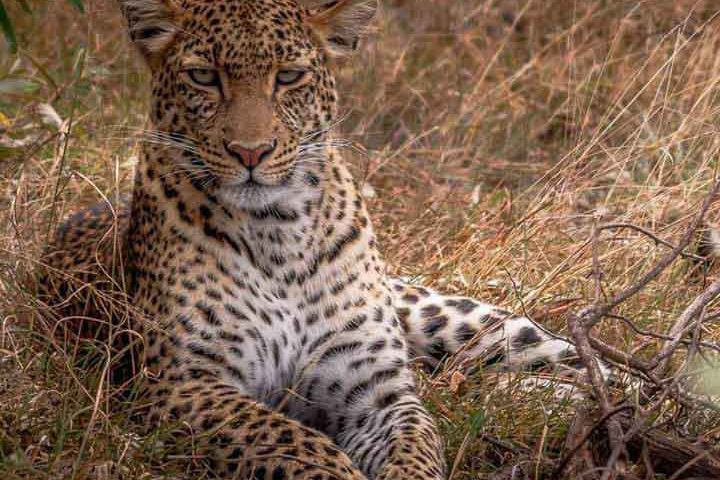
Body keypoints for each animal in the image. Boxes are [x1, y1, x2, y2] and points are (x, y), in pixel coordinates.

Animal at [40, 1, 600, 478]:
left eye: (289, 77)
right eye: (203, 77)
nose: (251, 152)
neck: (278, 231)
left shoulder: (377, 389)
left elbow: (416, 445)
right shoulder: (185, 383)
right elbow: (295, 442)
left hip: (454, 319)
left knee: (582, 365)